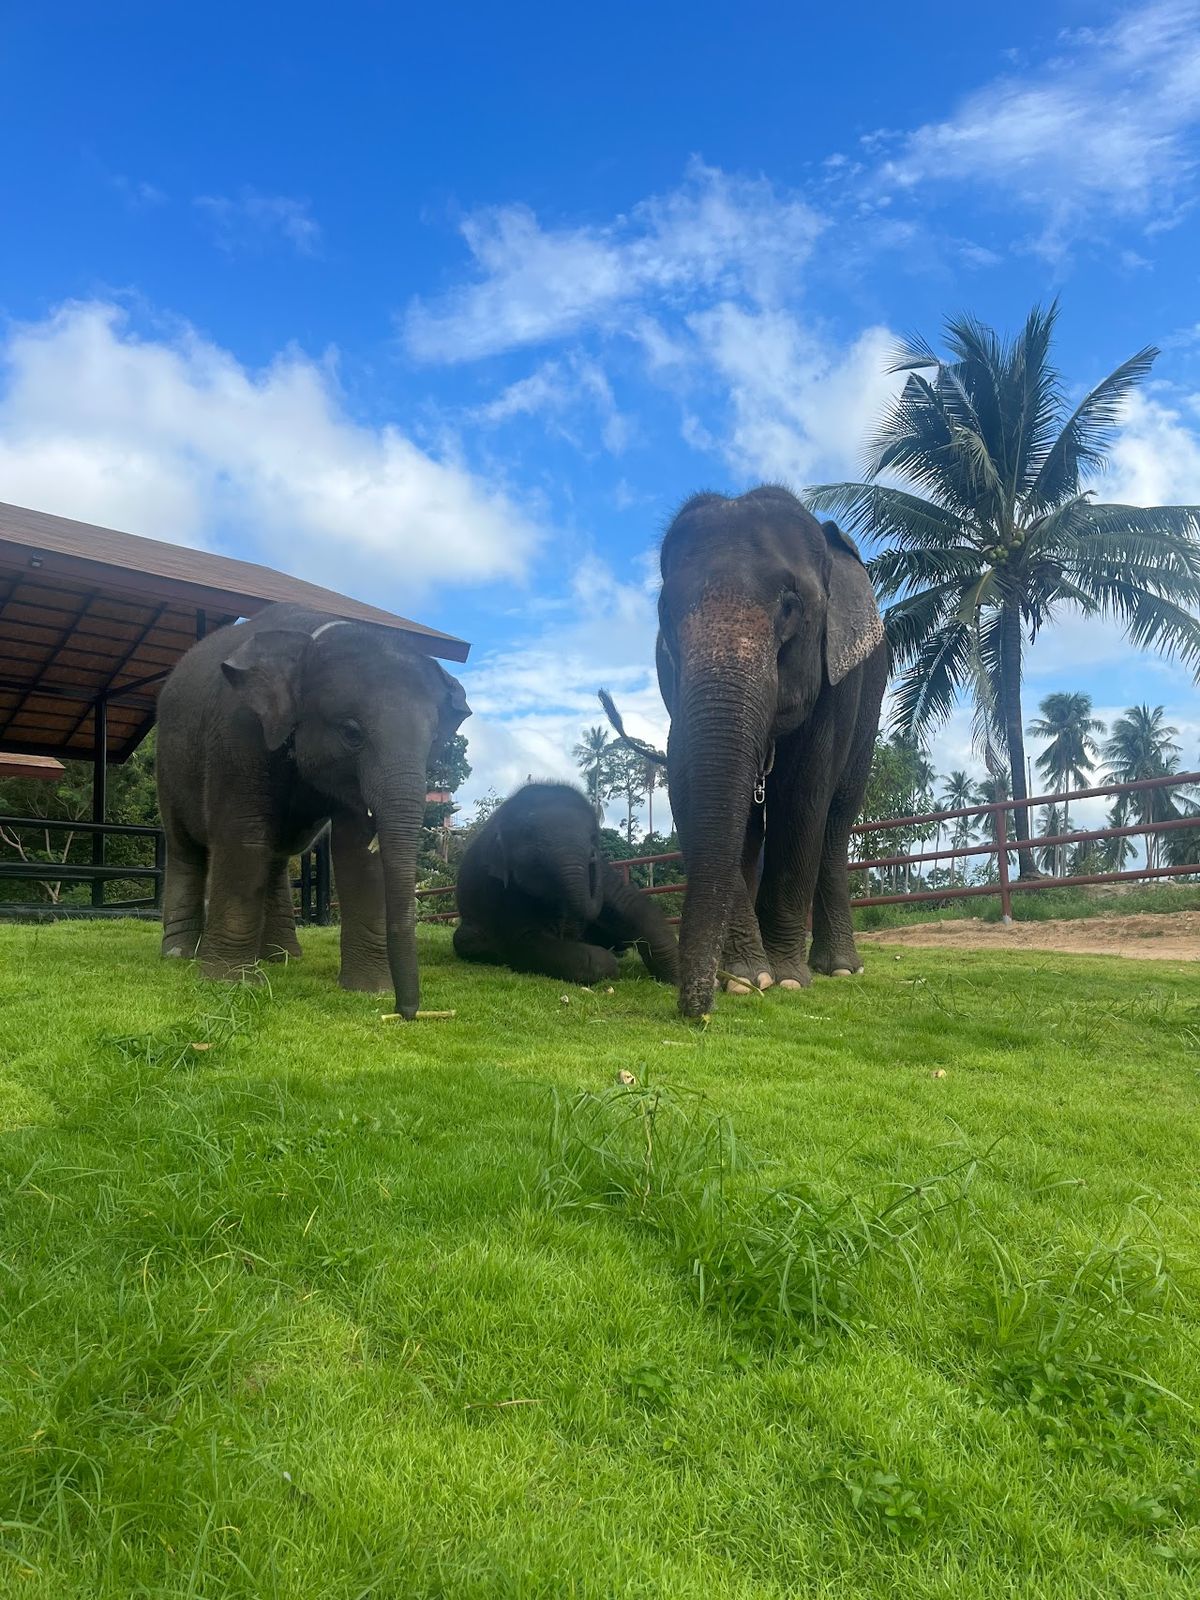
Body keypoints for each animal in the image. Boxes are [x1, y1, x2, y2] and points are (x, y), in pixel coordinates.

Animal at [155, 602, 470, 1019]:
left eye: (434, 740)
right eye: (351, 733)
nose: (408, 1012)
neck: (317, 636)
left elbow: (357, 853)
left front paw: (370, 992)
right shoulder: (237, 729)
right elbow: (244, 834)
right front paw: (229, 983)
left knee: (274, 856)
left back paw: (282, 958)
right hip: (169, 765)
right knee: (186, 849)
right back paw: (178, 956)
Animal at [452, 782, 679, 986]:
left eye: (593, 837)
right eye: (528, 835)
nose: (593, 855)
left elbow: (632, 905)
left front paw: (676, 978)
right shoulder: (496, 889)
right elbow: (524, 939)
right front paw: (608, 963)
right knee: (465, 939)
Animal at [655, 485, 887, 1018]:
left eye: (790, 607)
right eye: (664, 614)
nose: (694, 1011)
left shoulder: (837, 680)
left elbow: (804, 796)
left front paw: (786, 980)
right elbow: (688, 783)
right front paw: (745, 979)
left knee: (838, 816)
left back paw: (840, 968)